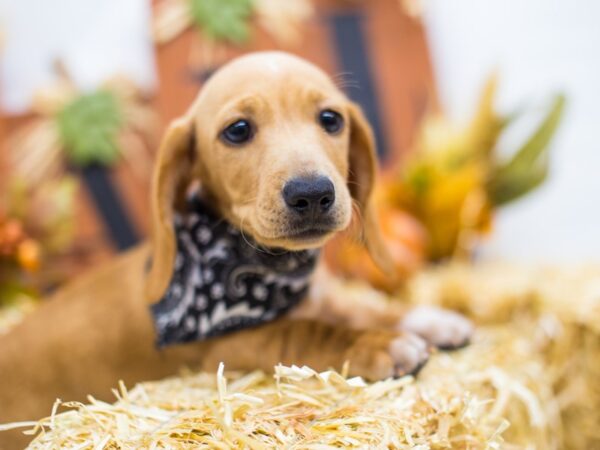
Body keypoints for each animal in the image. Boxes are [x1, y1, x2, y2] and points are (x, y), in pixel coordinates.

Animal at [0, 51, 472, 448]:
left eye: (331, 119)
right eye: (238, 130)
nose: (312, 193)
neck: (271, 268)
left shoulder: (317, 297)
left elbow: (357, 307)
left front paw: (425, 319)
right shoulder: (227, 351)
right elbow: (302, 332)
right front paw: (378, 345)